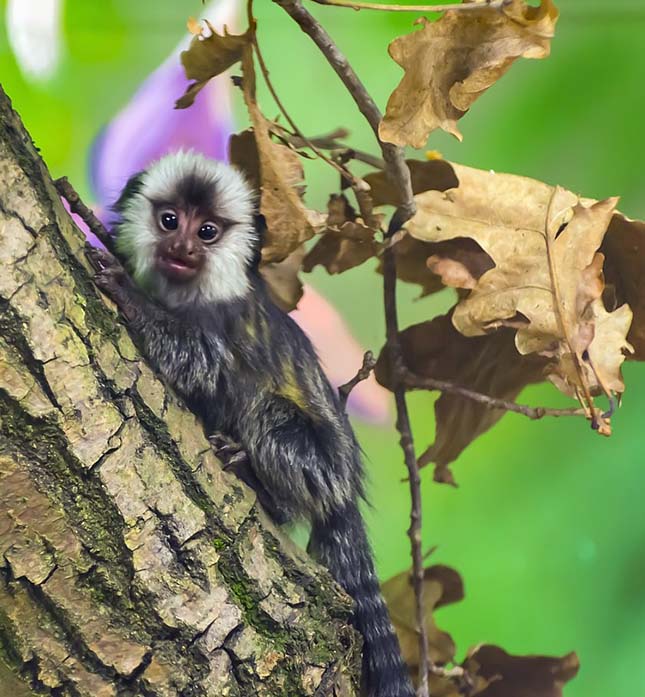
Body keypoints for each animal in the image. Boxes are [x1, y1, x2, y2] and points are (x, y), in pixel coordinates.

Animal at [89, 152, 412, 696]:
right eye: (170, 220)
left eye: (208, 231)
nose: (182, 247)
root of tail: (345, 488)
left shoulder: (219, 320)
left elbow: (198, 363)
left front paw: (128, 294)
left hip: (317, 465)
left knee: (271, 415)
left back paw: (258, 480)